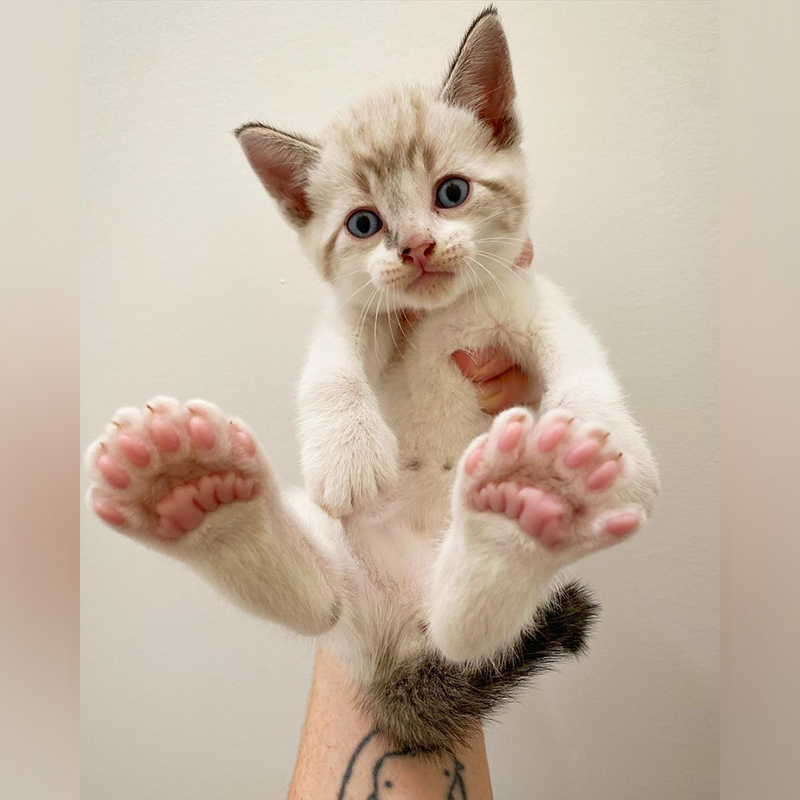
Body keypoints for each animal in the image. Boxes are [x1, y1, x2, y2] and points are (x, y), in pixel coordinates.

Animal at [84, 7, 660, 756]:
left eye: (452, 192)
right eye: (364, 223)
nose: (415, 247)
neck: (441, 315)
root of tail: (399, 638)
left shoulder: (530, 303)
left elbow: (580, 361)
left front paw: (609, 438)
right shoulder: (357, 312)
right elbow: (329, 368)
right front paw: (346, 451)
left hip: (490, 612)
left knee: (467, 629)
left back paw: (527, 509)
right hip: (343, 585)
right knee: (317, 598)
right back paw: (196, 492)